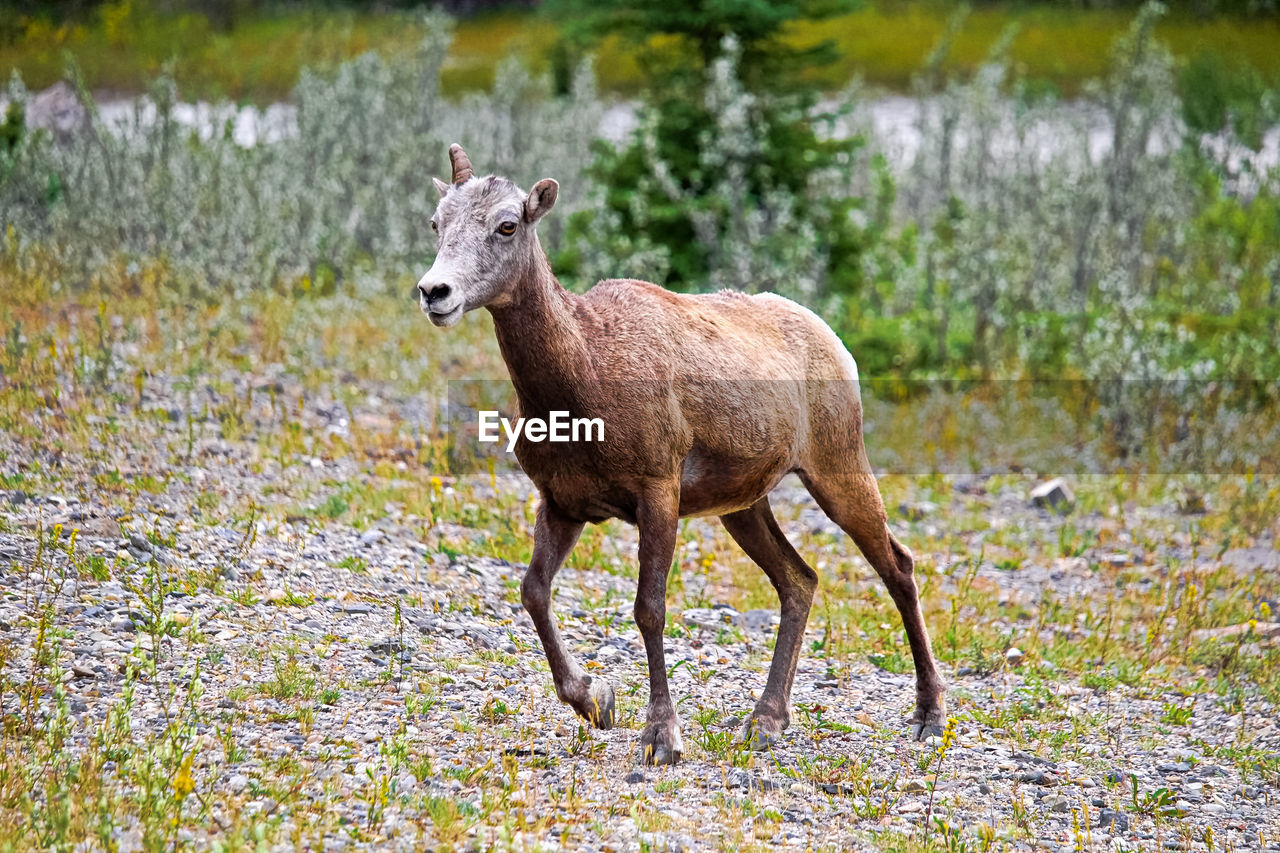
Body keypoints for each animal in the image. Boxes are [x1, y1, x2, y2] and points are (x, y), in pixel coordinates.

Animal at [414, 144, 947, 763]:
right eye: (437, 222)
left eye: (507, 224)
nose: (435, 292)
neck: (583, 381)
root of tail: (835, 343)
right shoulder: (563, 504)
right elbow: (533, 593)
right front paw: (596, 703)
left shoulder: (657, 492)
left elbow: (650, 609)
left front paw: (661, 737)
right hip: (743, 506)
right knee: (799, 580)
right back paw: (765, 721)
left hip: (837, 469)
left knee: (898, 567)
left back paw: (929, 717)